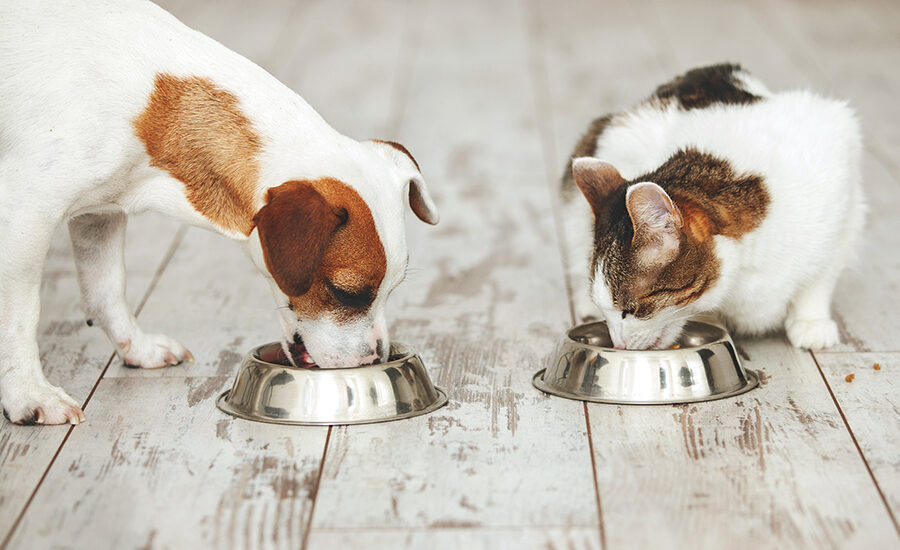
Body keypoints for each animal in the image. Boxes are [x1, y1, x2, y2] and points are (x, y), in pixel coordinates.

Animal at [0, 0, 440, 426]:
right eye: (346, 293)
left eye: (392, 289)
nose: (375, 359)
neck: (155, 105)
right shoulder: (24, 217)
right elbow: (21, 316)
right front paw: (29, 395)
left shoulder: (100, 214)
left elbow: (107, 289)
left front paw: (137, 347)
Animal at [564, 63, 864, 350]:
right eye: (609, 310)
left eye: (630, 310)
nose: (619, 344)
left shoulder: (843, 187)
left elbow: (821, 276)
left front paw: (811, 321)